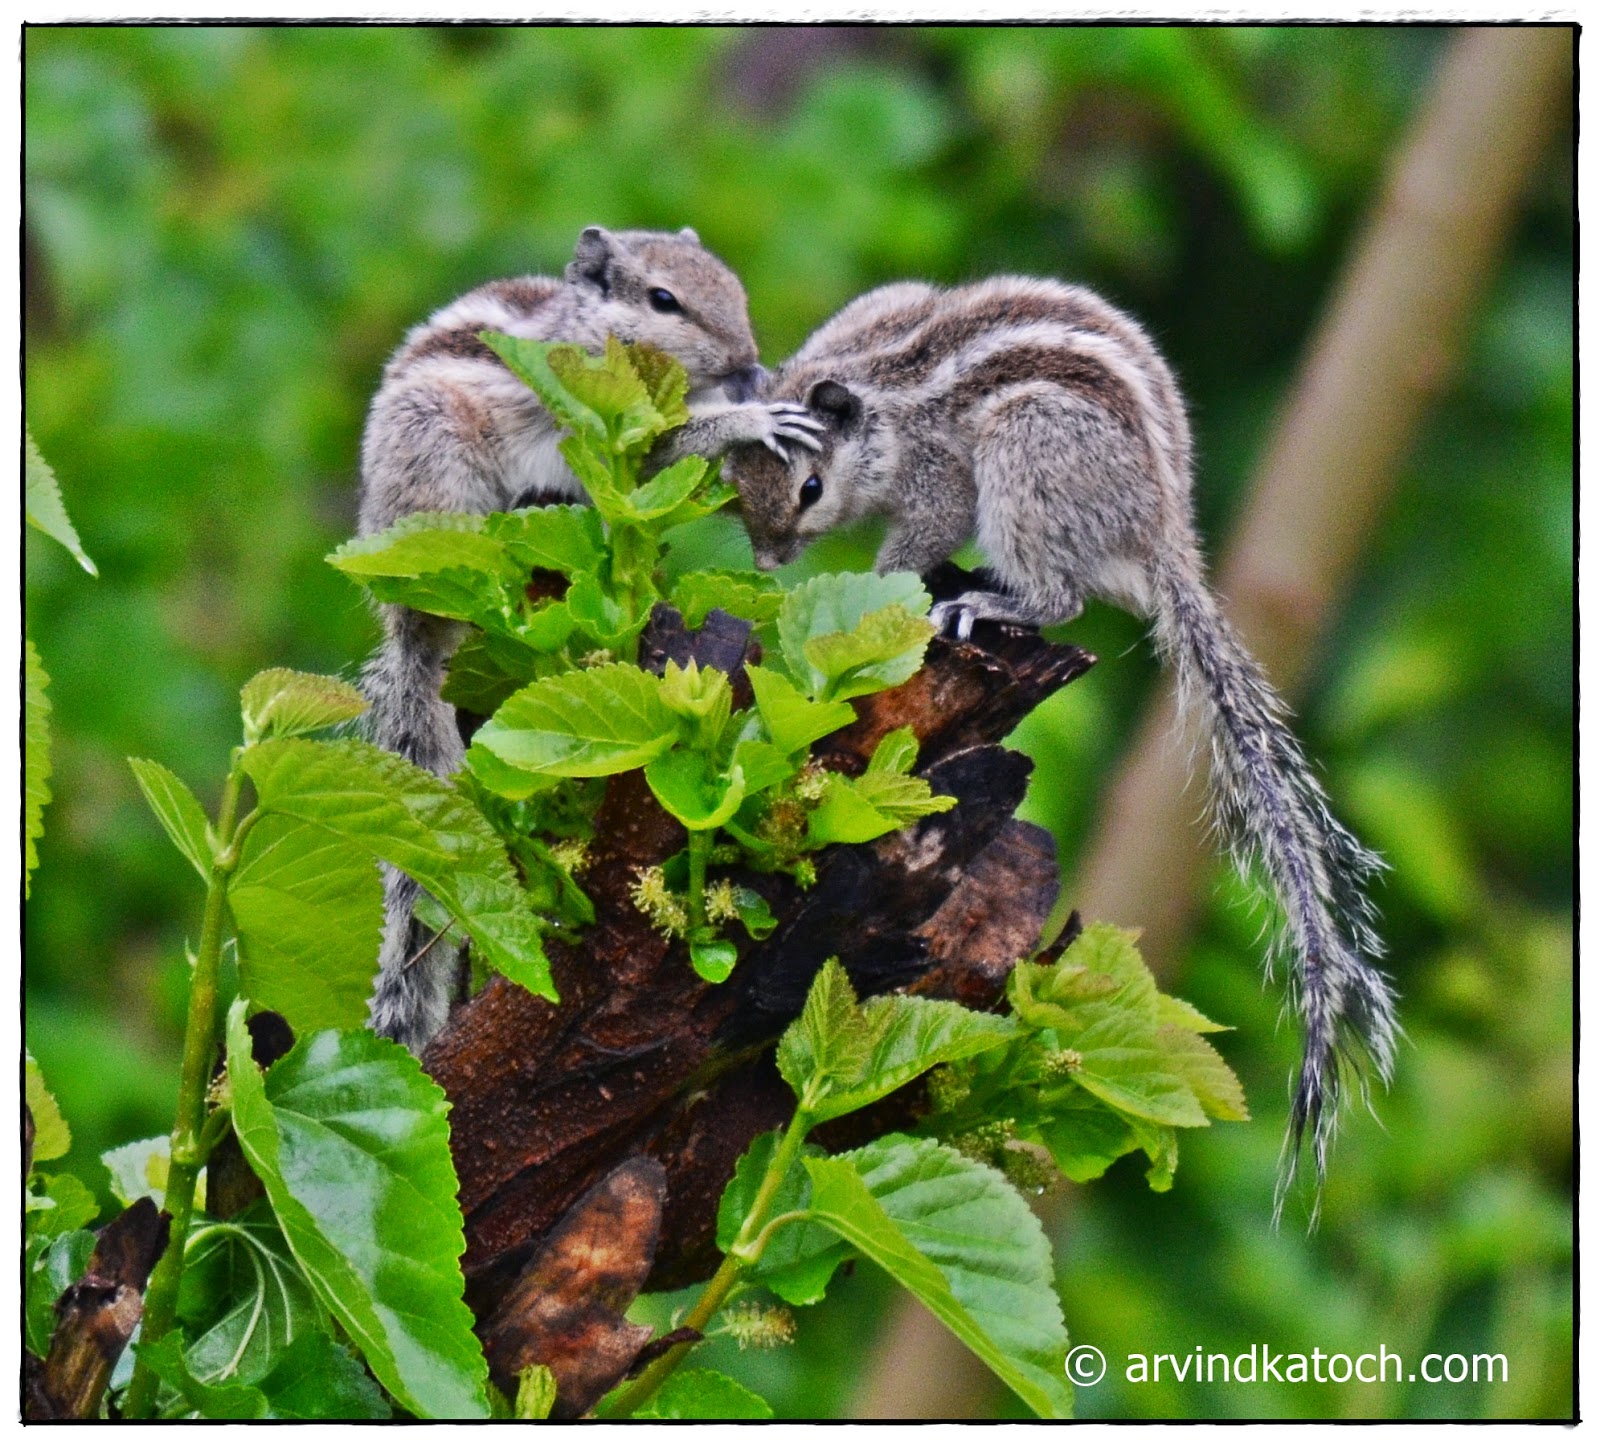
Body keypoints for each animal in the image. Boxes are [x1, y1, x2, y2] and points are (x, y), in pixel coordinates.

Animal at [356, 222, 819, 1050]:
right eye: (663, 299)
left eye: (733, 286)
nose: (745, 361)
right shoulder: (604, 417)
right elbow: (670, 443)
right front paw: (758, 416)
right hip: (436, 466)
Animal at [726, 276, 1401, 1203]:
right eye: (733, 479)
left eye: (810, 488)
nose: (767, 559)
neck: (877, 388)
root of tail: (1160, 536)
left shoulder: (937, 479)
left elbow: (915, 543)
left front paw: (876, 589)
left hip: (1029, 455)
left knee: (1062, 597)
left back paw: (987, 600)